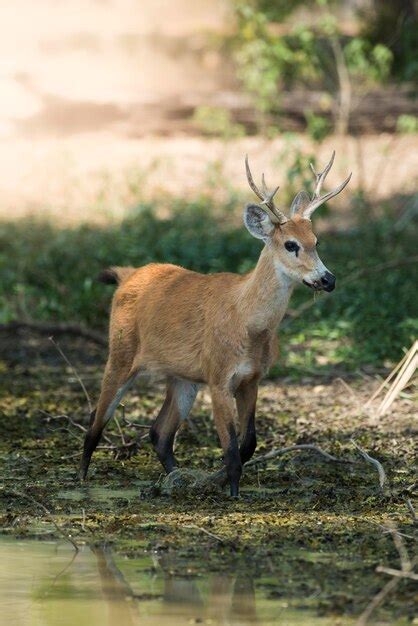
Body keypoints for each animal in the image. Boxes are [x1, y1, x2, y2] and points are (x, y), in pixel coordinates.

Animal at [80, 150, 352, 492]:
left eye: (317, 241)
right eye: (291, 244)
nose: (328, 280)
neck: (249, 323)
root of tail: (126, 276)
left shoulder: (251, 378)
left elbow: (248, 443)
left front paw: (220, 481)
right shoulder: (219, 376)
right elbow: (232, 448)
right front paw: (233, 493)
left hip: (182, 377)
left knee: (160, 432)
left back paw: (177, 480)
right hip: (121, 353)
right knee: (96, 417)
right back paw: (81, 477)